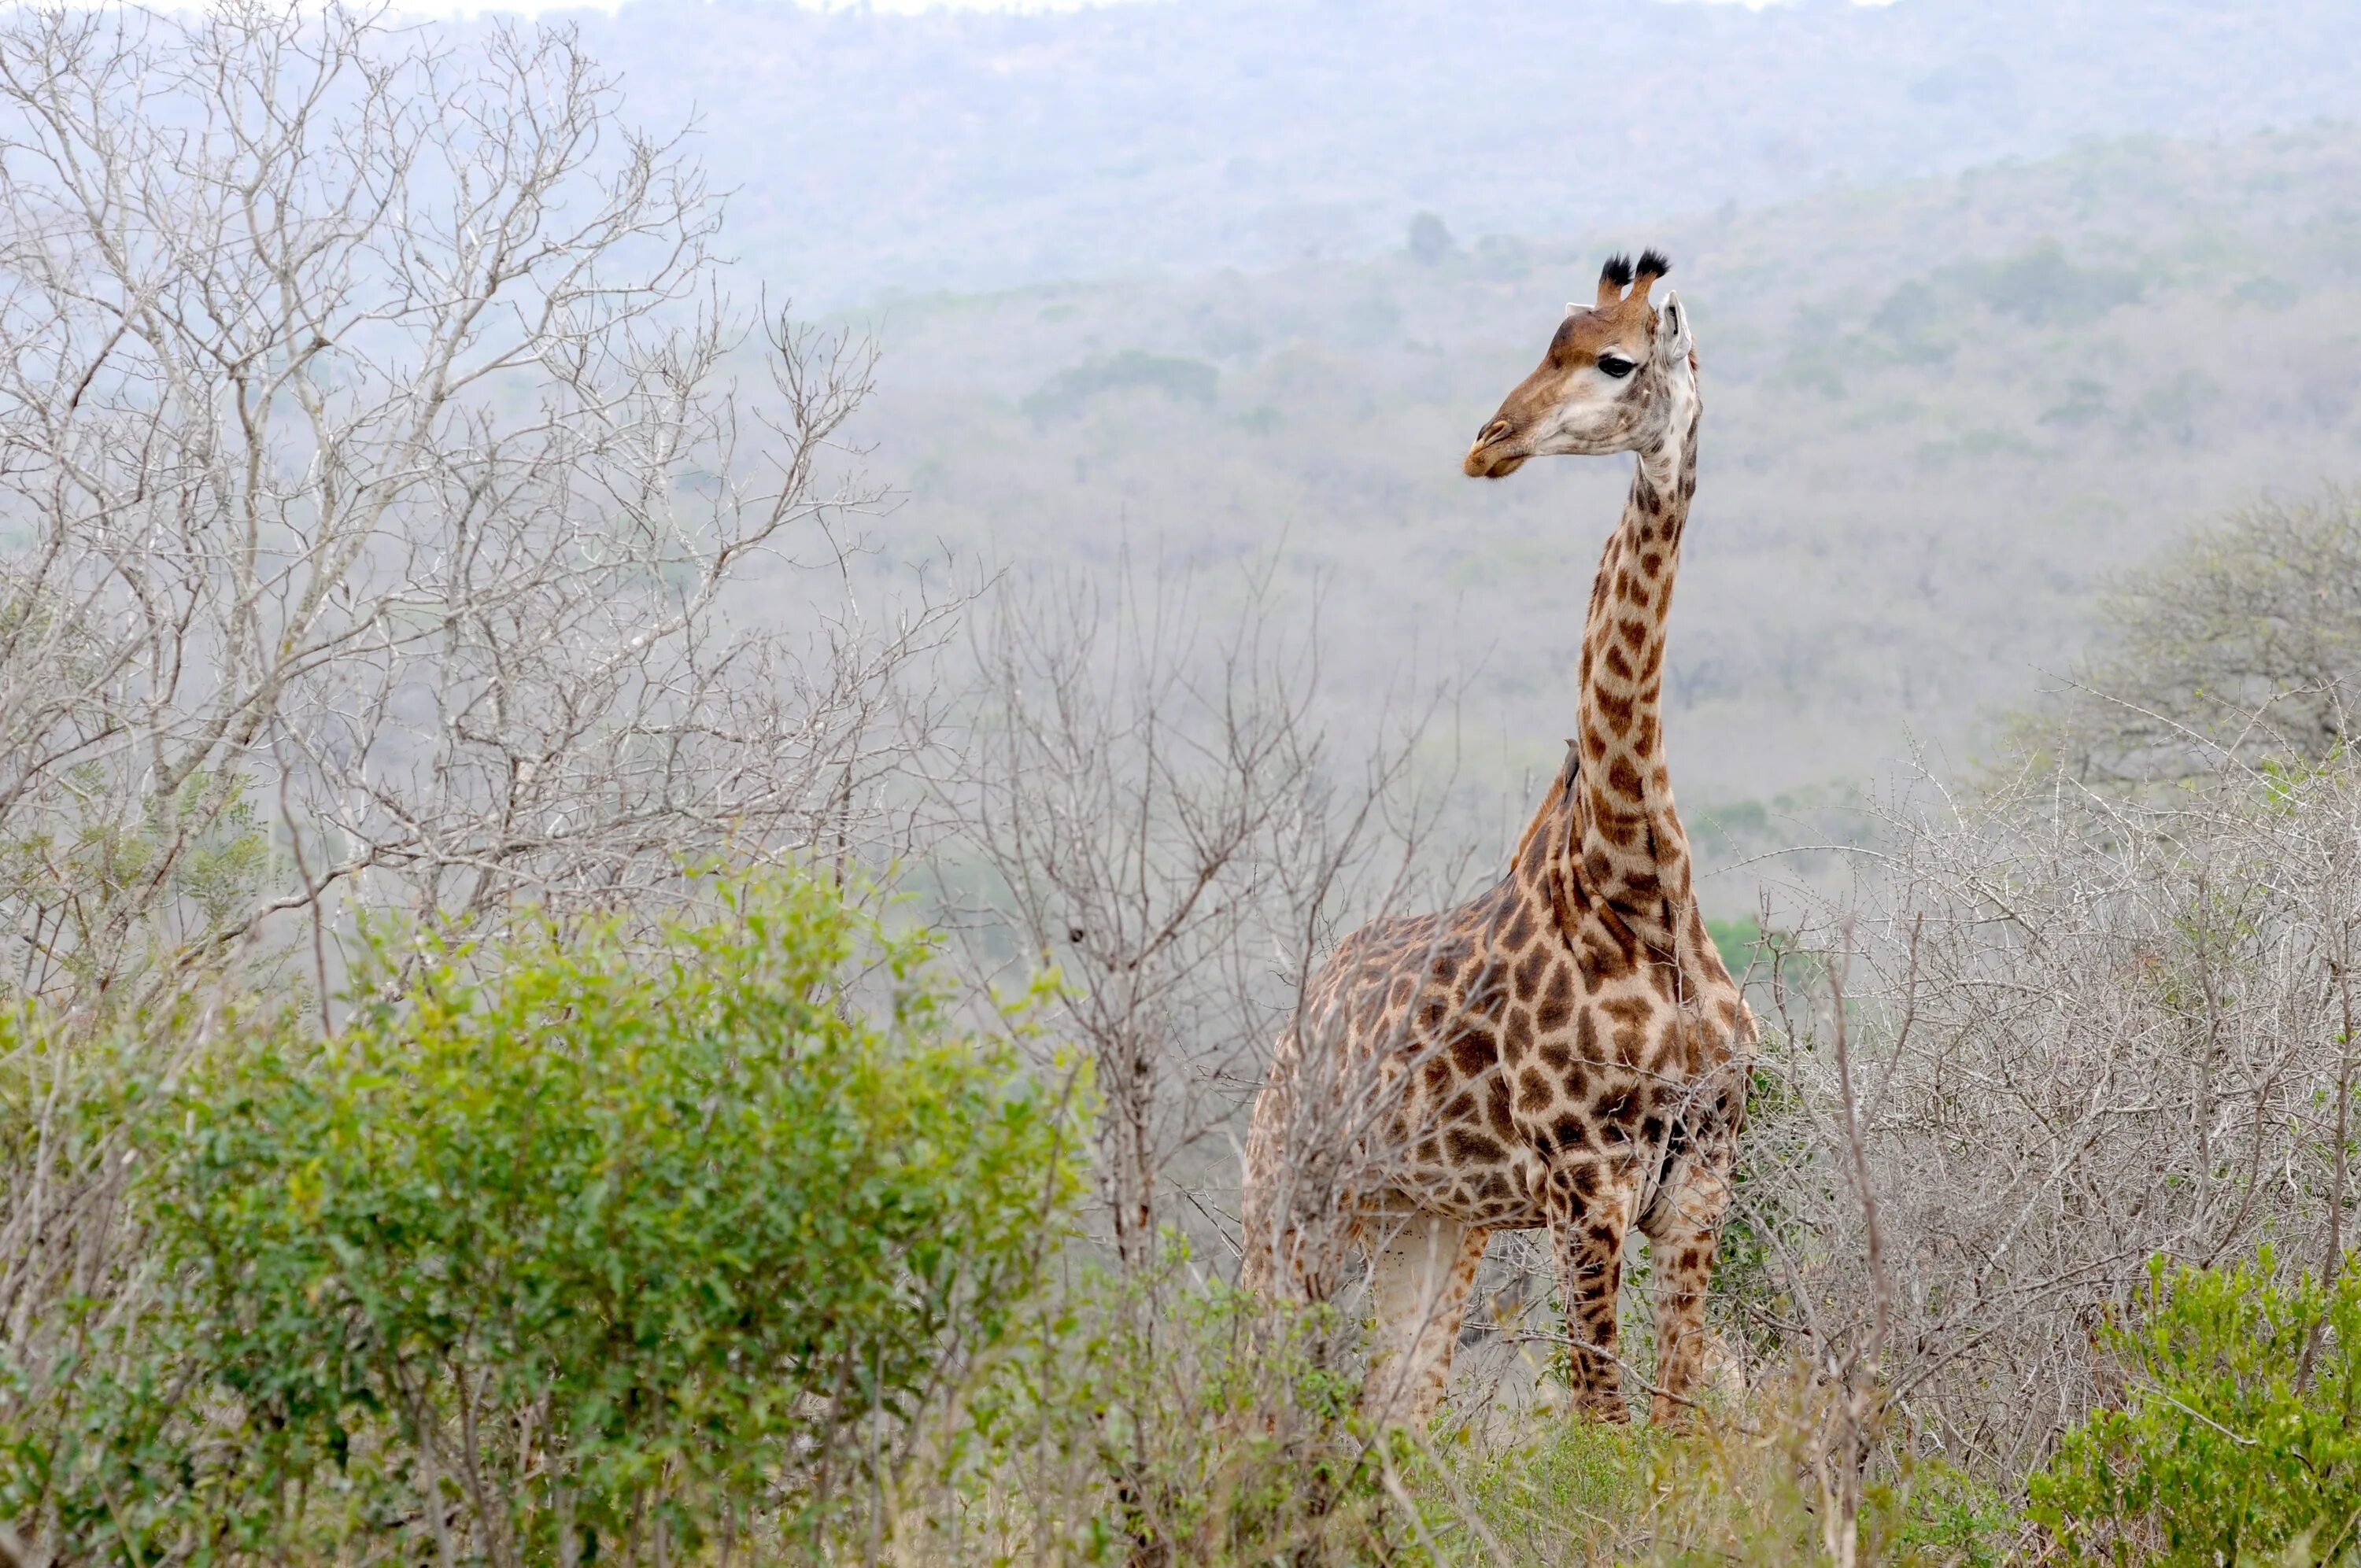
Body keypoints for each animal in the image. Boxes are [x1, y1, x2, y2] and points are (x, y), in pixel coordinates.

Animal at [1237, 248, 1757, 1435]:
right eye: (1549, 343)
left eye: (1614, 361)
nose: (1489, 441)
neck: (1638, 883)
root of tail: (1287, 1045)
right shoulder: (1583, 1188)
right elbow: (1605, 1428)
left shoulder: (1698, 1186)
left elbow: (1675, 1425)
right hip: (1290, 1208)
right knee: (1254, 1399)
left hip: (1427, 1224)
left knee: (1396, 1417)